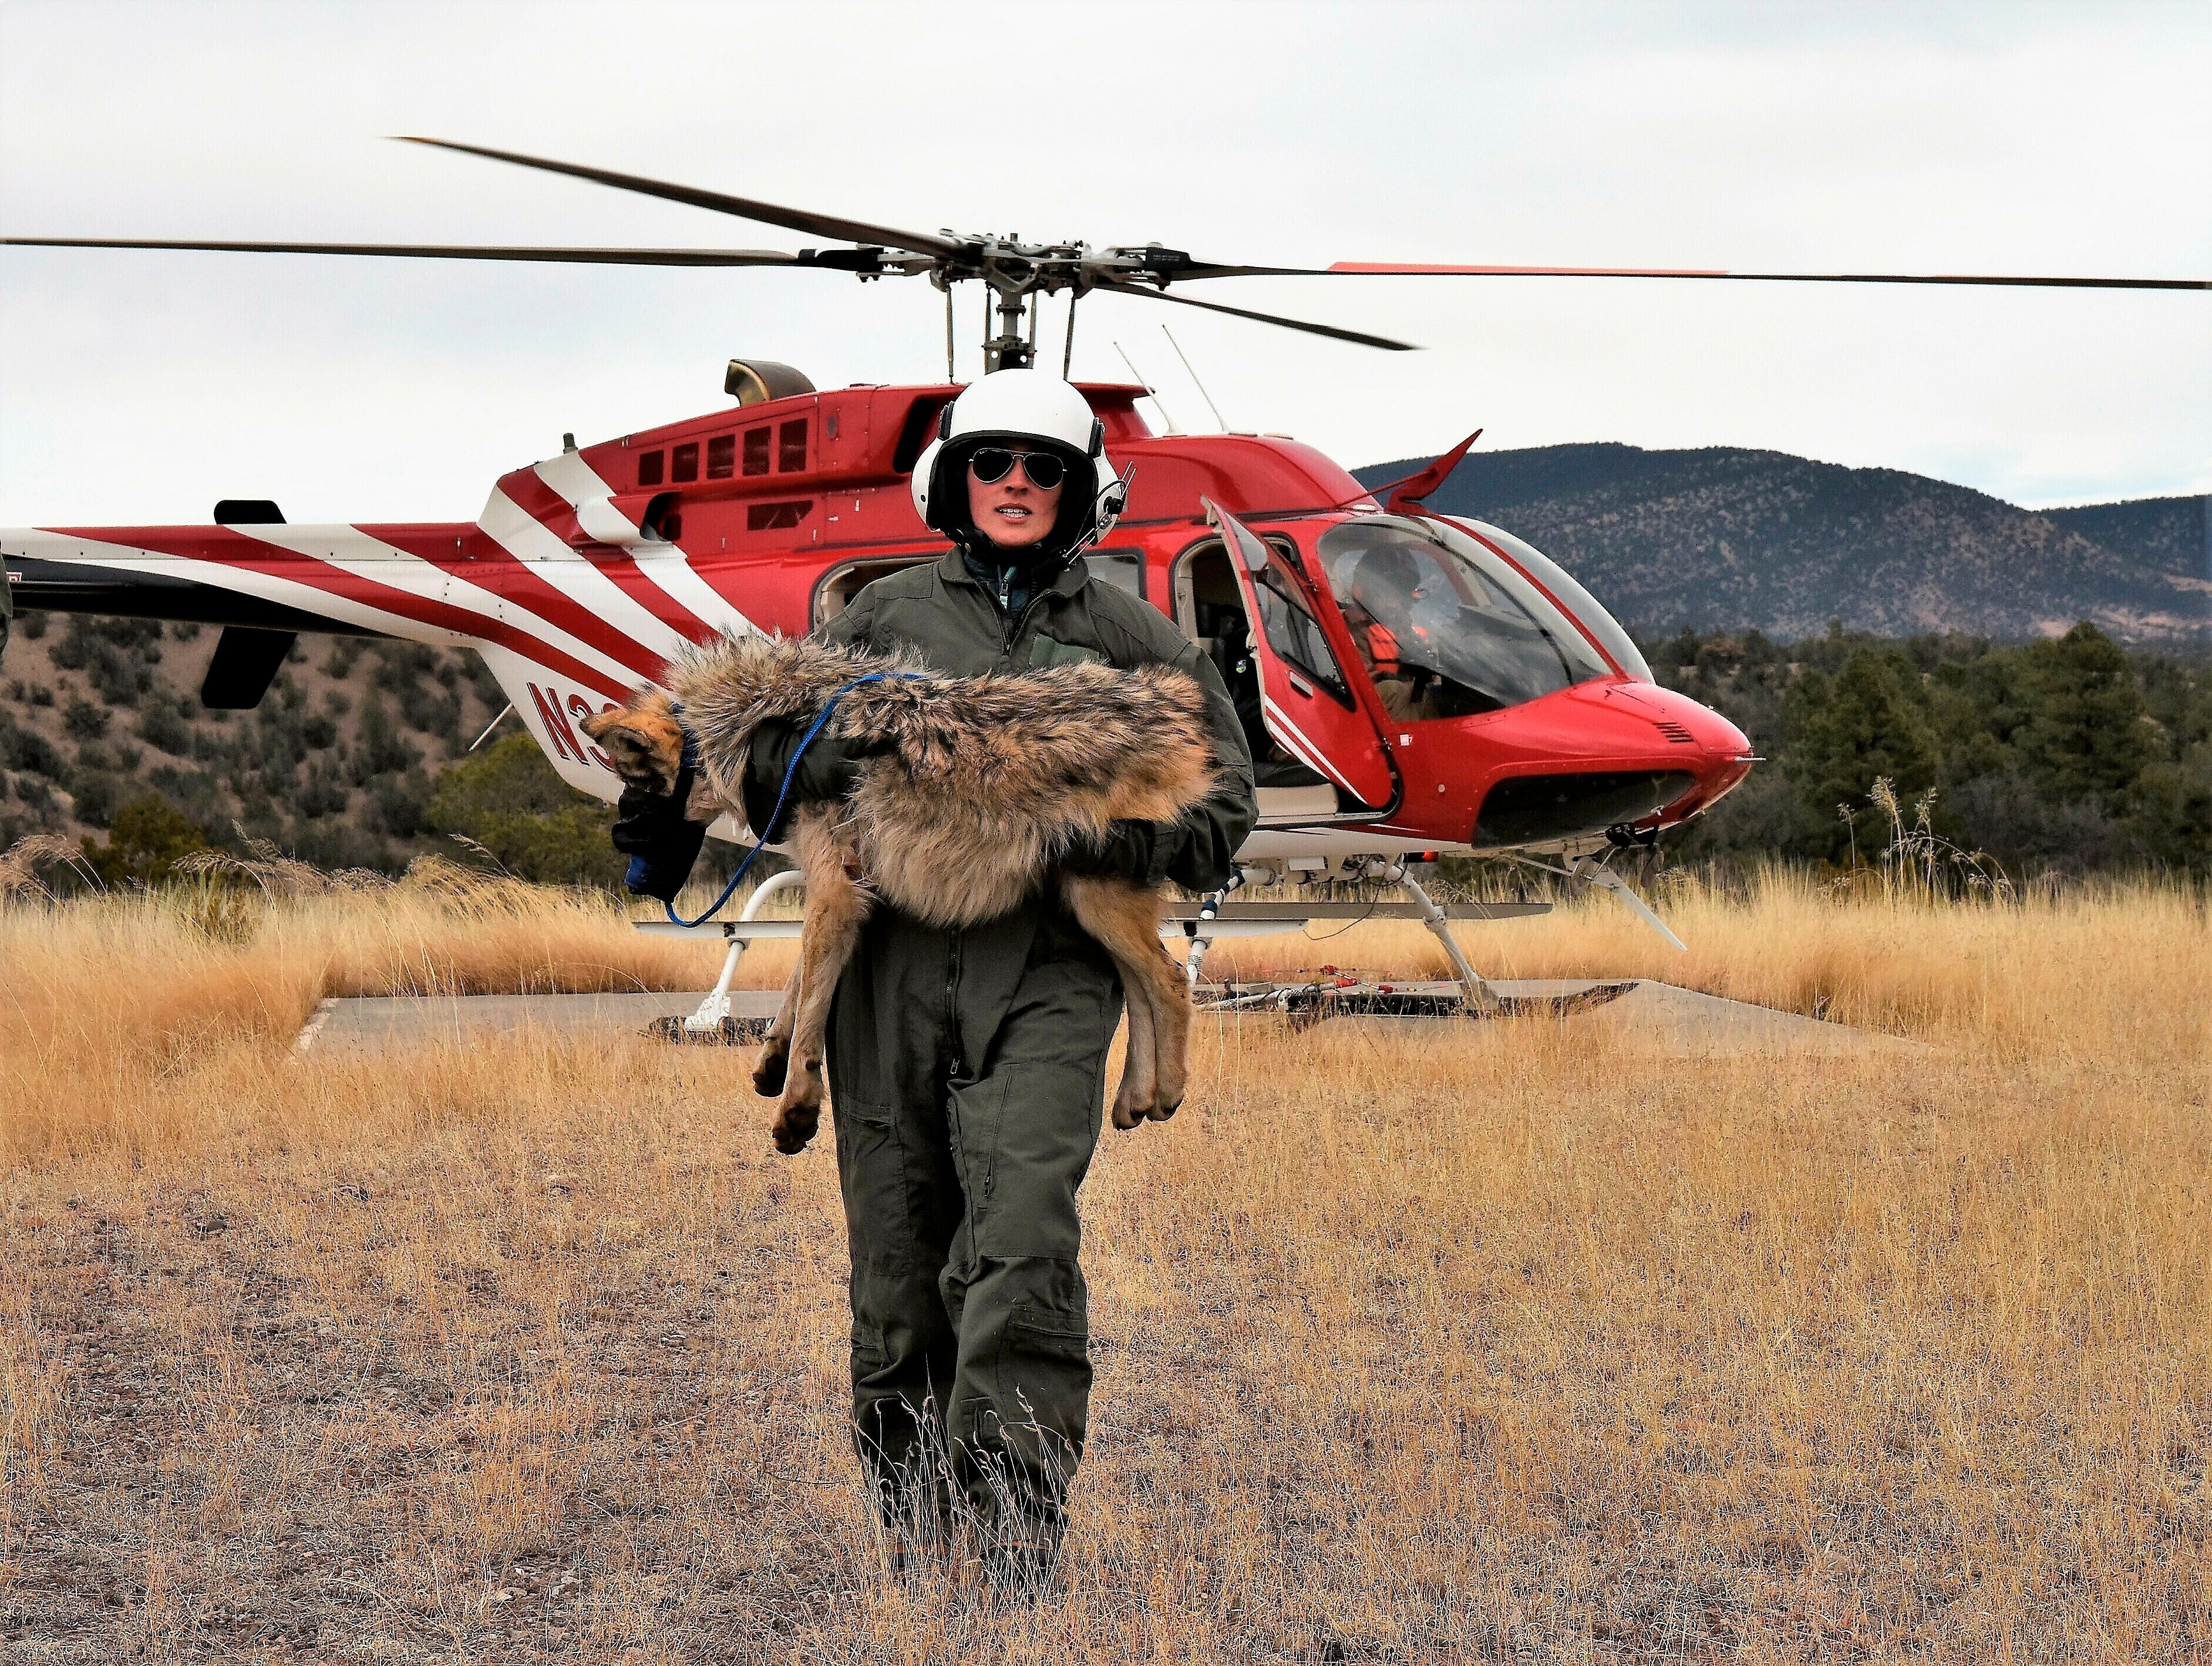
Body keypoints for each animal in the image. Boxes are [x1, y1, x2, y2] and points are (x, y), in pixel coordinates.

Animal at [582, 635, 1219, 1156]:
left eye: (634, 784)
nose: (618, 845)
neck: (777, 730)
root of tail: (1170, 697)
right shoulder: (834, 890)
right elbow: (796, 985)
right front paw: (771, 1057)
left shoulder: (836, 892)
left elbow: (811, 1004)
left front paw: (796, 1109)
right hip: (1090, 904)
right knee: (1142, 988)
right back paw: (1134, 1099)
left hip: (1100, 896)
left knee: (1169, 982)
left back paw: (1166, 1094)